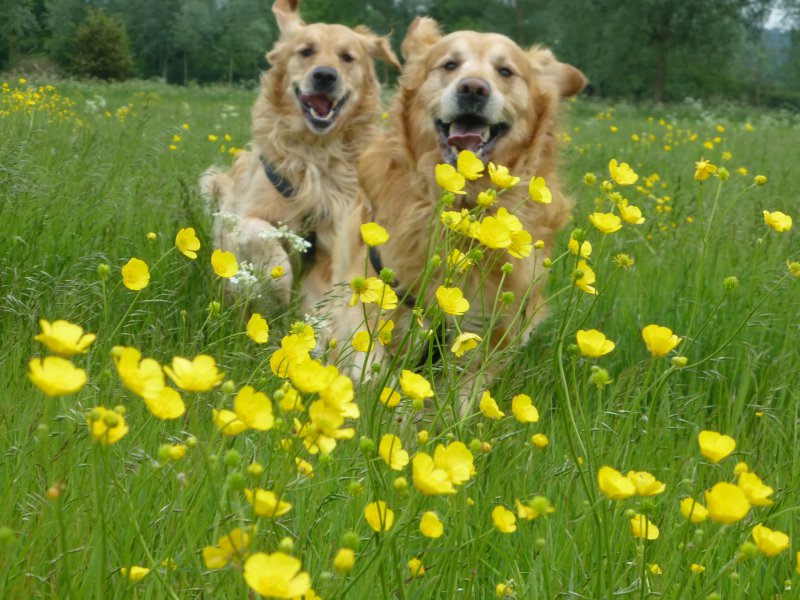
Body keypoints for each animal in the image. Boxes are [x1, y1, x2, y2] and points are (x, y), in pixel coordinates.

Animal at [202, 0, 398, 342]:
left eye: (348, 57)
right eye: (306, 51)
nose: (324, 76)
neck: (317, 152)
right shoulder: (243, 216)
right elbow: (262, 238)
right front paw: (276, 288)